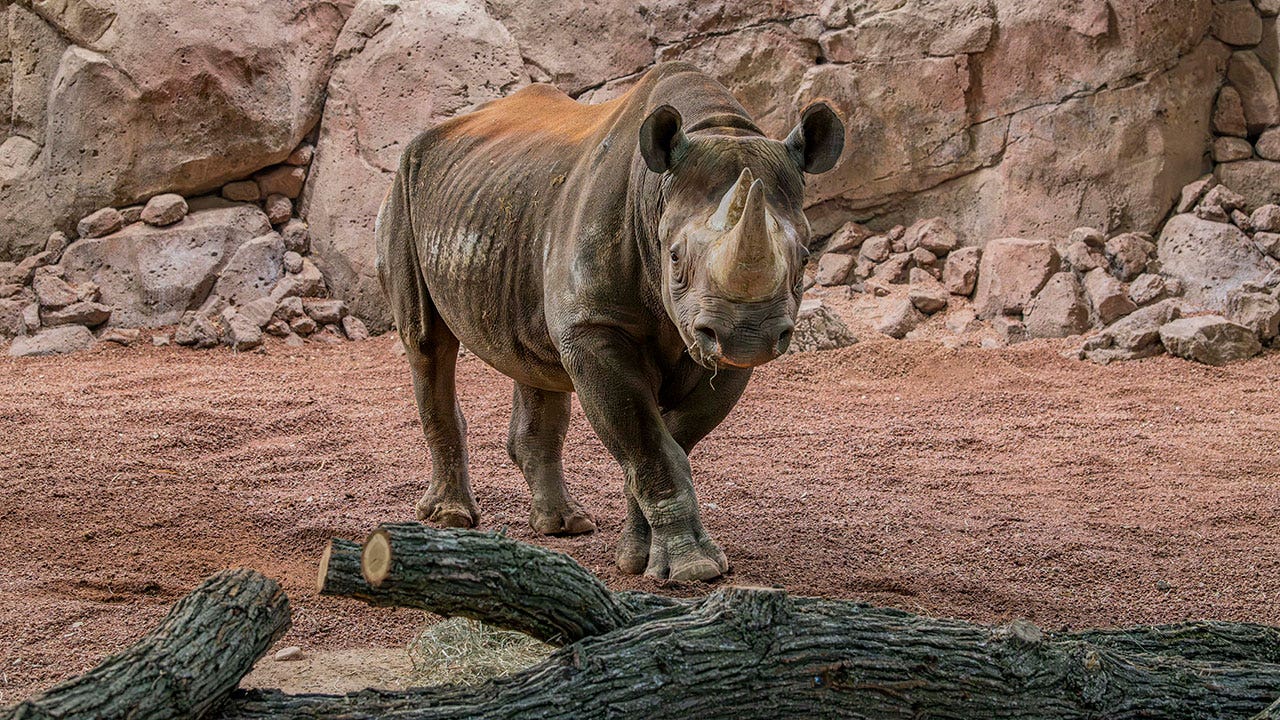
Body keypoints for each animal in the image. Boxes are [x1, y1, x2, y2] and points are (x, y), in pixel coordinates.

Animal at [376, 62, 843, 581]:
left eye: (805, 259)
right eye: (674, 257)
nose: (748, 335)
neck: (657, 191)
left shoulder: (714, 348)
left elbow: (669, 442)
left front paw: (639, 557)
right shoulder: (595, 327)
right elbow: (649, 444)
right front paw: (694, 569)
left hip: (512, 205)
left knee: (534, 358)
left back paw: (564, 525)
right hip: (405, 186)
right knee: (427, 342)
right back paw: (452, 518)